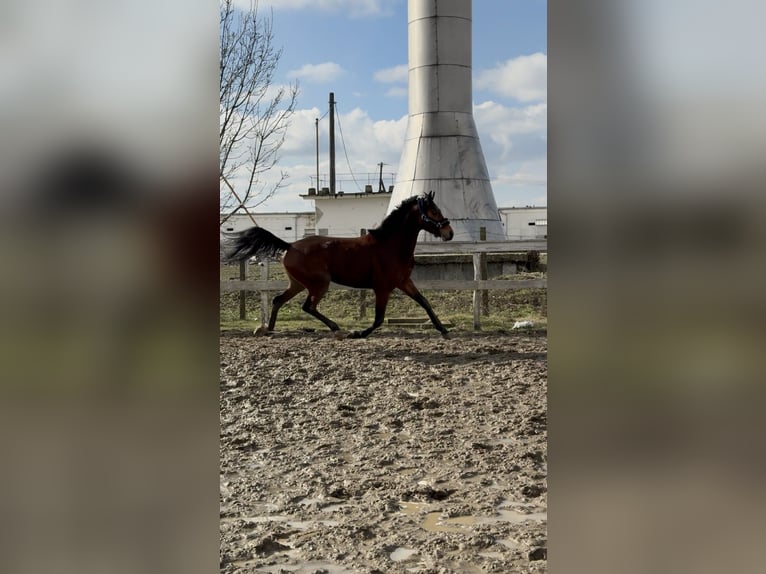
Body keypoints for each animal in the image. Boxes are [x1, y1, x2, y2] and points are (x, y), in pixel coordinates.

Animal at [224, 191, 454, 338]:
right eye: (433, 212)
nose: (449, 232)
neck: (390, 245)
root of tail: (289, 245)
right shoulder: (383, 288)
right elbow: (379, 318)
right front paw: (358, 333)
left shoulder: (404, 282)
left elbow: (425, 302)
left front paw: (443, 330)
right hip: (319, 283)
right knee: (308, 306)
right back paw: (337, 329)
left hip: (297, 284)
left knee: (278, 300)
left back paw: (269, 329)